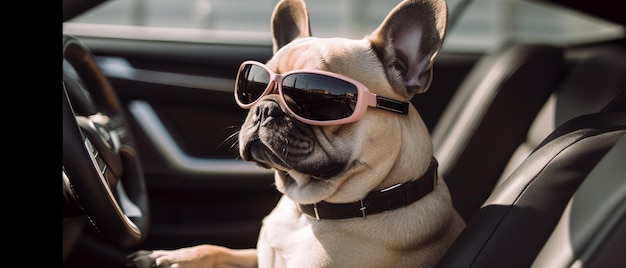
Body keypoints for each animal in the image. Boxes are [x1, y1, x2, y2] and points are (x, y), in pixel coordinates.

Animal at [128, 0, 464, 266]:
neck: (305, 212)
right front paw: (174, 256)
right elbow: (219, 249)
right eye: (254, 85)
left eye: (316, 98)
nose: (264, 109)